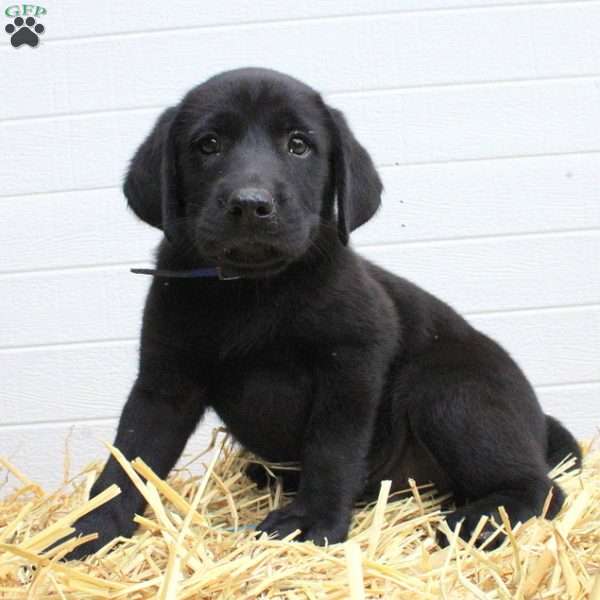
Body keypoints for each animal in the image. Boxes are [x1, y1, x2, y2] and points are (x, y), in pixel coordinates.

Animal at [62, 67, 580, 556]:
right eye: (208, 145)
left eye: (299, 145)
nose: (250, 205)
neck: (253, 289)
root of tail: (539, 422)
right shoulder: (165, 382)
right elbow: (127, 459)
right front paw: (89, 530)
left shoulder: (353, 363)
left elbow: (332, 450)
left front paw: (311, 522)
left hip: (448, 390)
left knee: (540, 488)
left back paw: (481, 520)